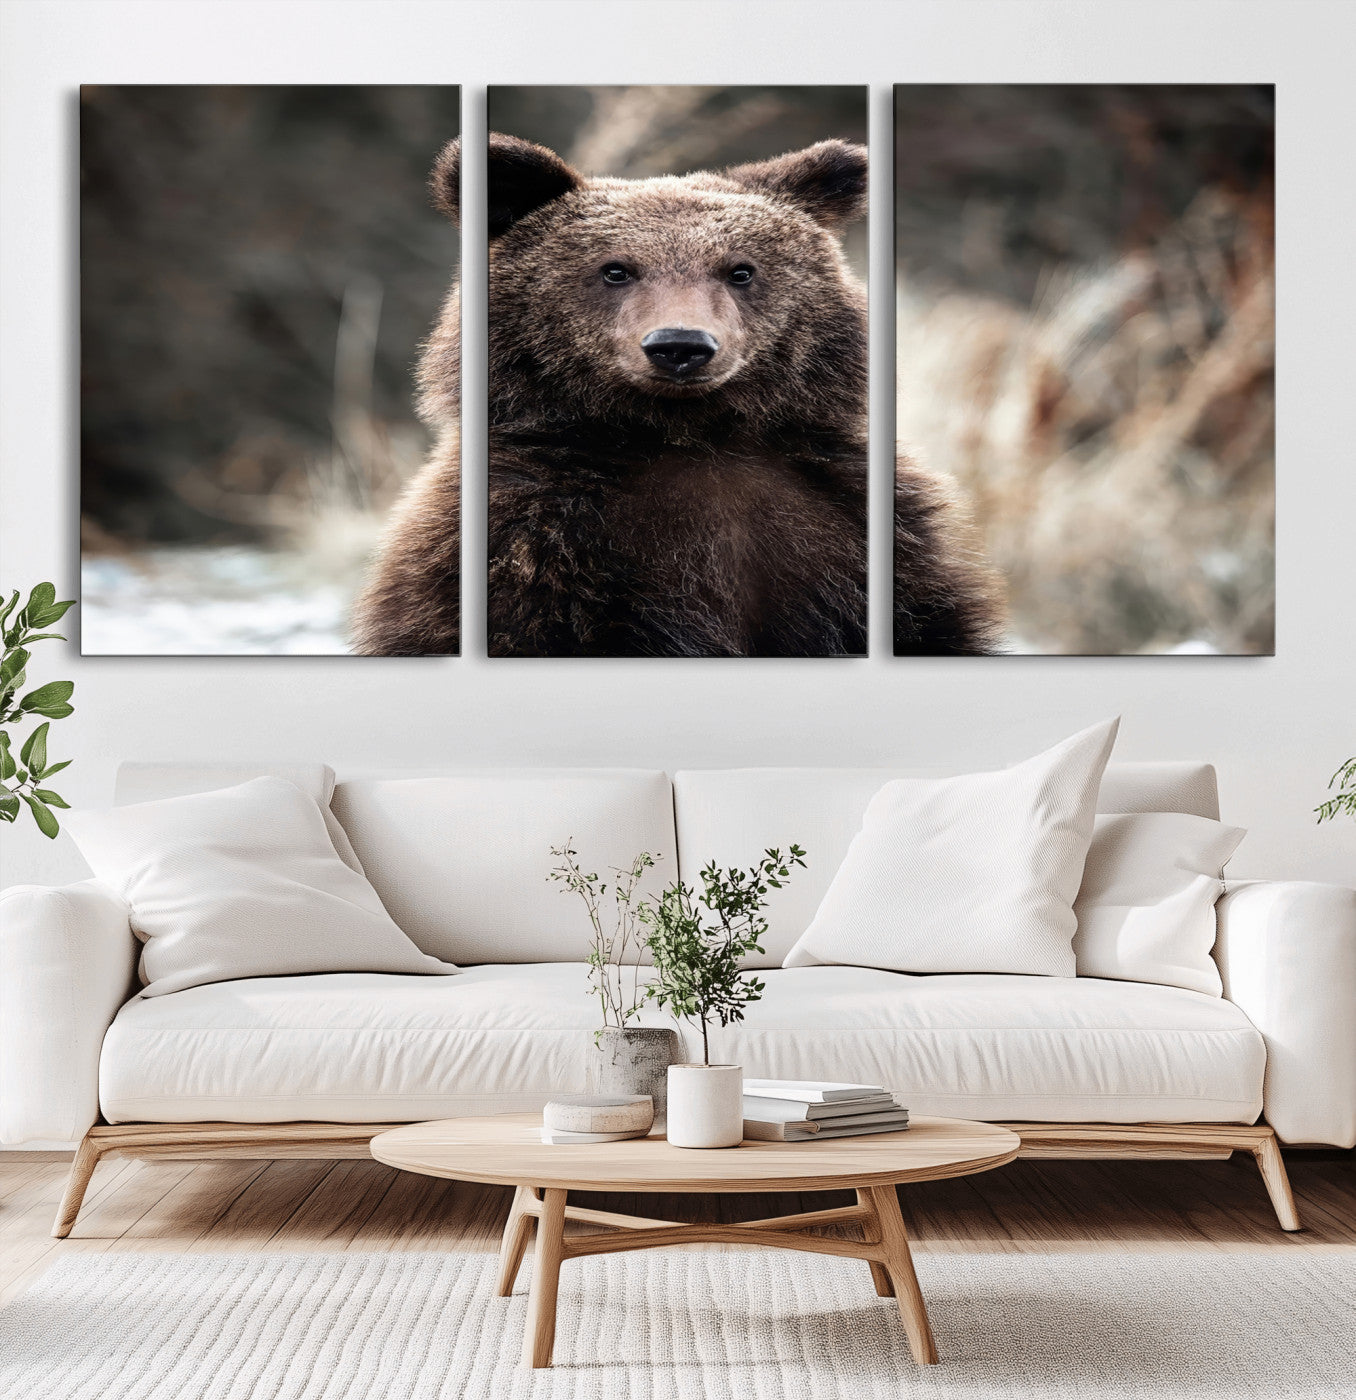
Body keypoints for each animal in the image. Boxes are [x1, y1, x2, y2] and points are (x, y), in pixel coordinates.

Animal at [351, 133, 1003, 657]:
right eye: (615, 269)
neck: (688, 435)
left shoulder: (857, 528)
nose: (680, 345)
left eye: (740, 270)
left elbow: (928, 623)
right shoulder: (528, 543)